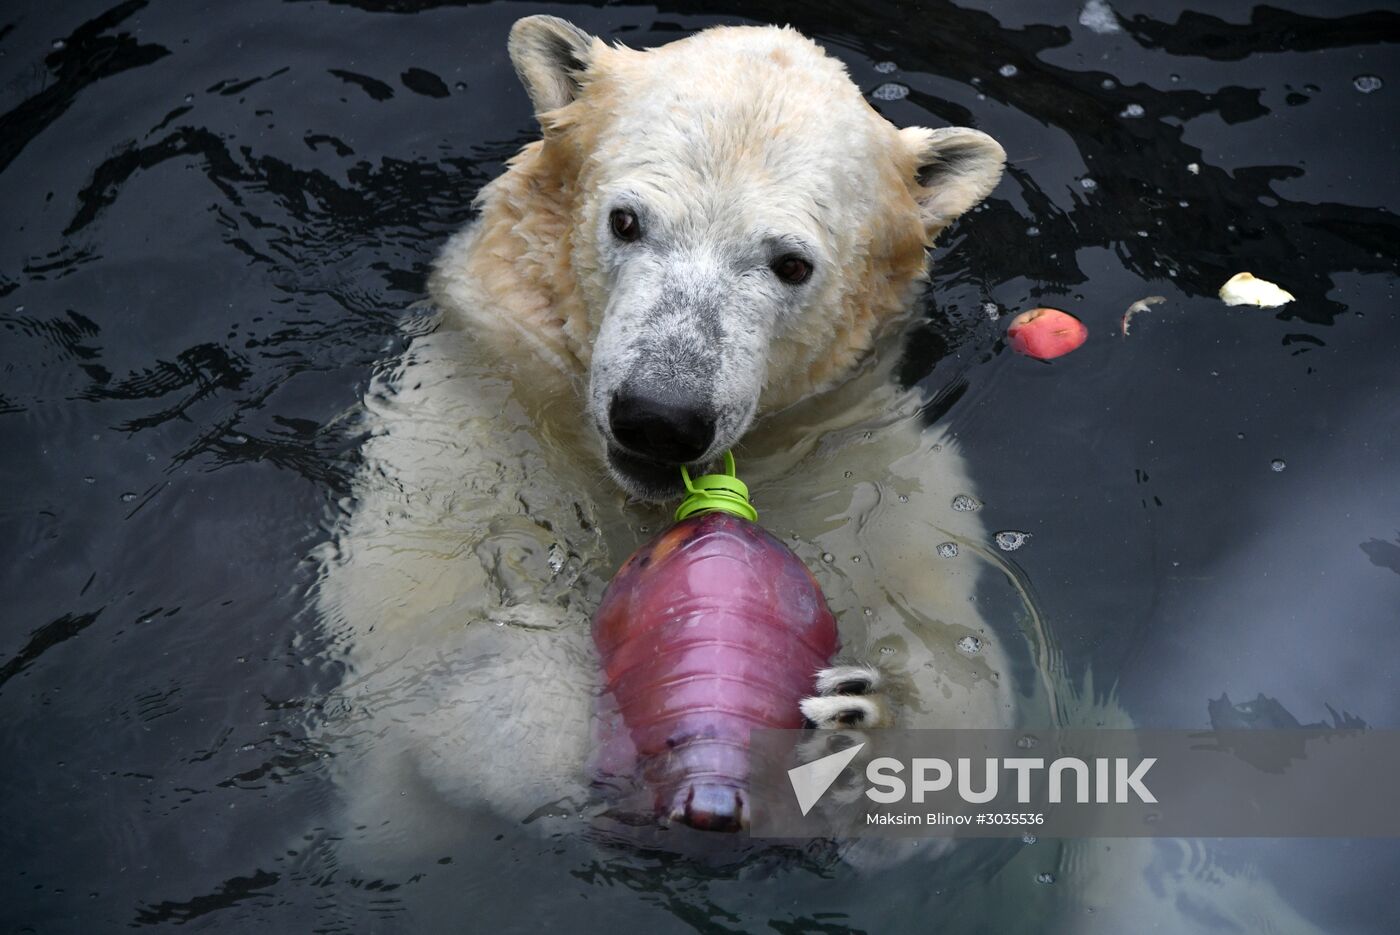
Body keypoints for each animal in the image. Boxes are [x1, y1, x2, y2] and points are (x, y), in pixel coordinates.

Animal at [312, 14, 1047, 862]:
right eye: (625, 219)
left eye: (791, 263)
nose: (661, 415)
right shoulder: (470, 419)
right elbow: (419, 634)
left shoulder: (868, 472)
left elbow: (964, 709)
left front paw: (851, 732)